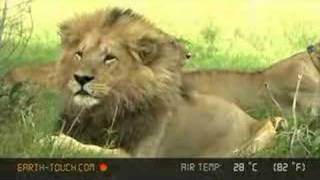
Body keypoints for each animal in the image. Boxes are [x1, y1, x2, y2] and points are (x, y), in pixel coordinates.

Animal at [3, 7, 276, 157]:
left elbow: (89, 148)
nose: (80, 78)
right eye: (80, 54)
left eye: (109, 58)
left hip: (267, 130)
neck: (108, 107)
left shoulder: (142, 153)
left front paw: (50, 140)